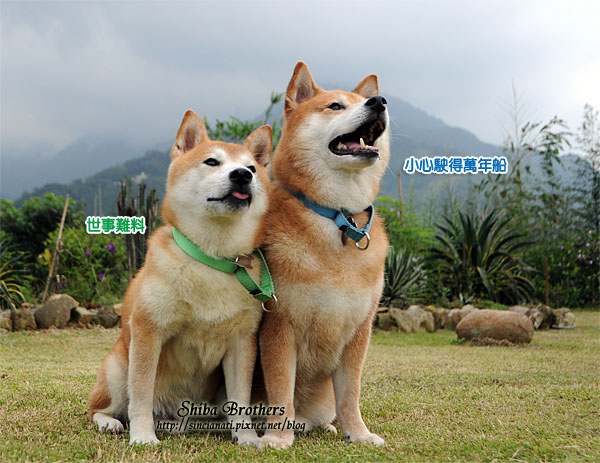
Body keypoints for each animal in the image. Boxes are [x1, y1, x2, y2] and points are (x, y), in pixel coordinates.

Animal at [88, 110, 272, 446]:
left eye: (252, 167)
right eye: (211, 161)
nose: (242, 175)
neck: (211, 260)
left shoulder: (242, 344)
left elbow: (240, 399)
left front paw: (247, 436)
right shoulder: (149, 332)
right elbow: (141, 395)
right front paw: (143, 436)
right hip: (118, 369)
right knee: (100, 407)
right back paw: (111, 422)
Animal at [259, 62, 390, 449]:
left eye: (364, 100)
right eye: (335, 106)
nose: (379, 101)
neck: (337, 218)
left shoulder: (359, 330)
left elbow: (350, 393)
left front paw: (357, 433)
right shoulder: (279, 326)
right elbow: (281, 389)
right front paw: (277, 437)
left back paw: (330, 426)